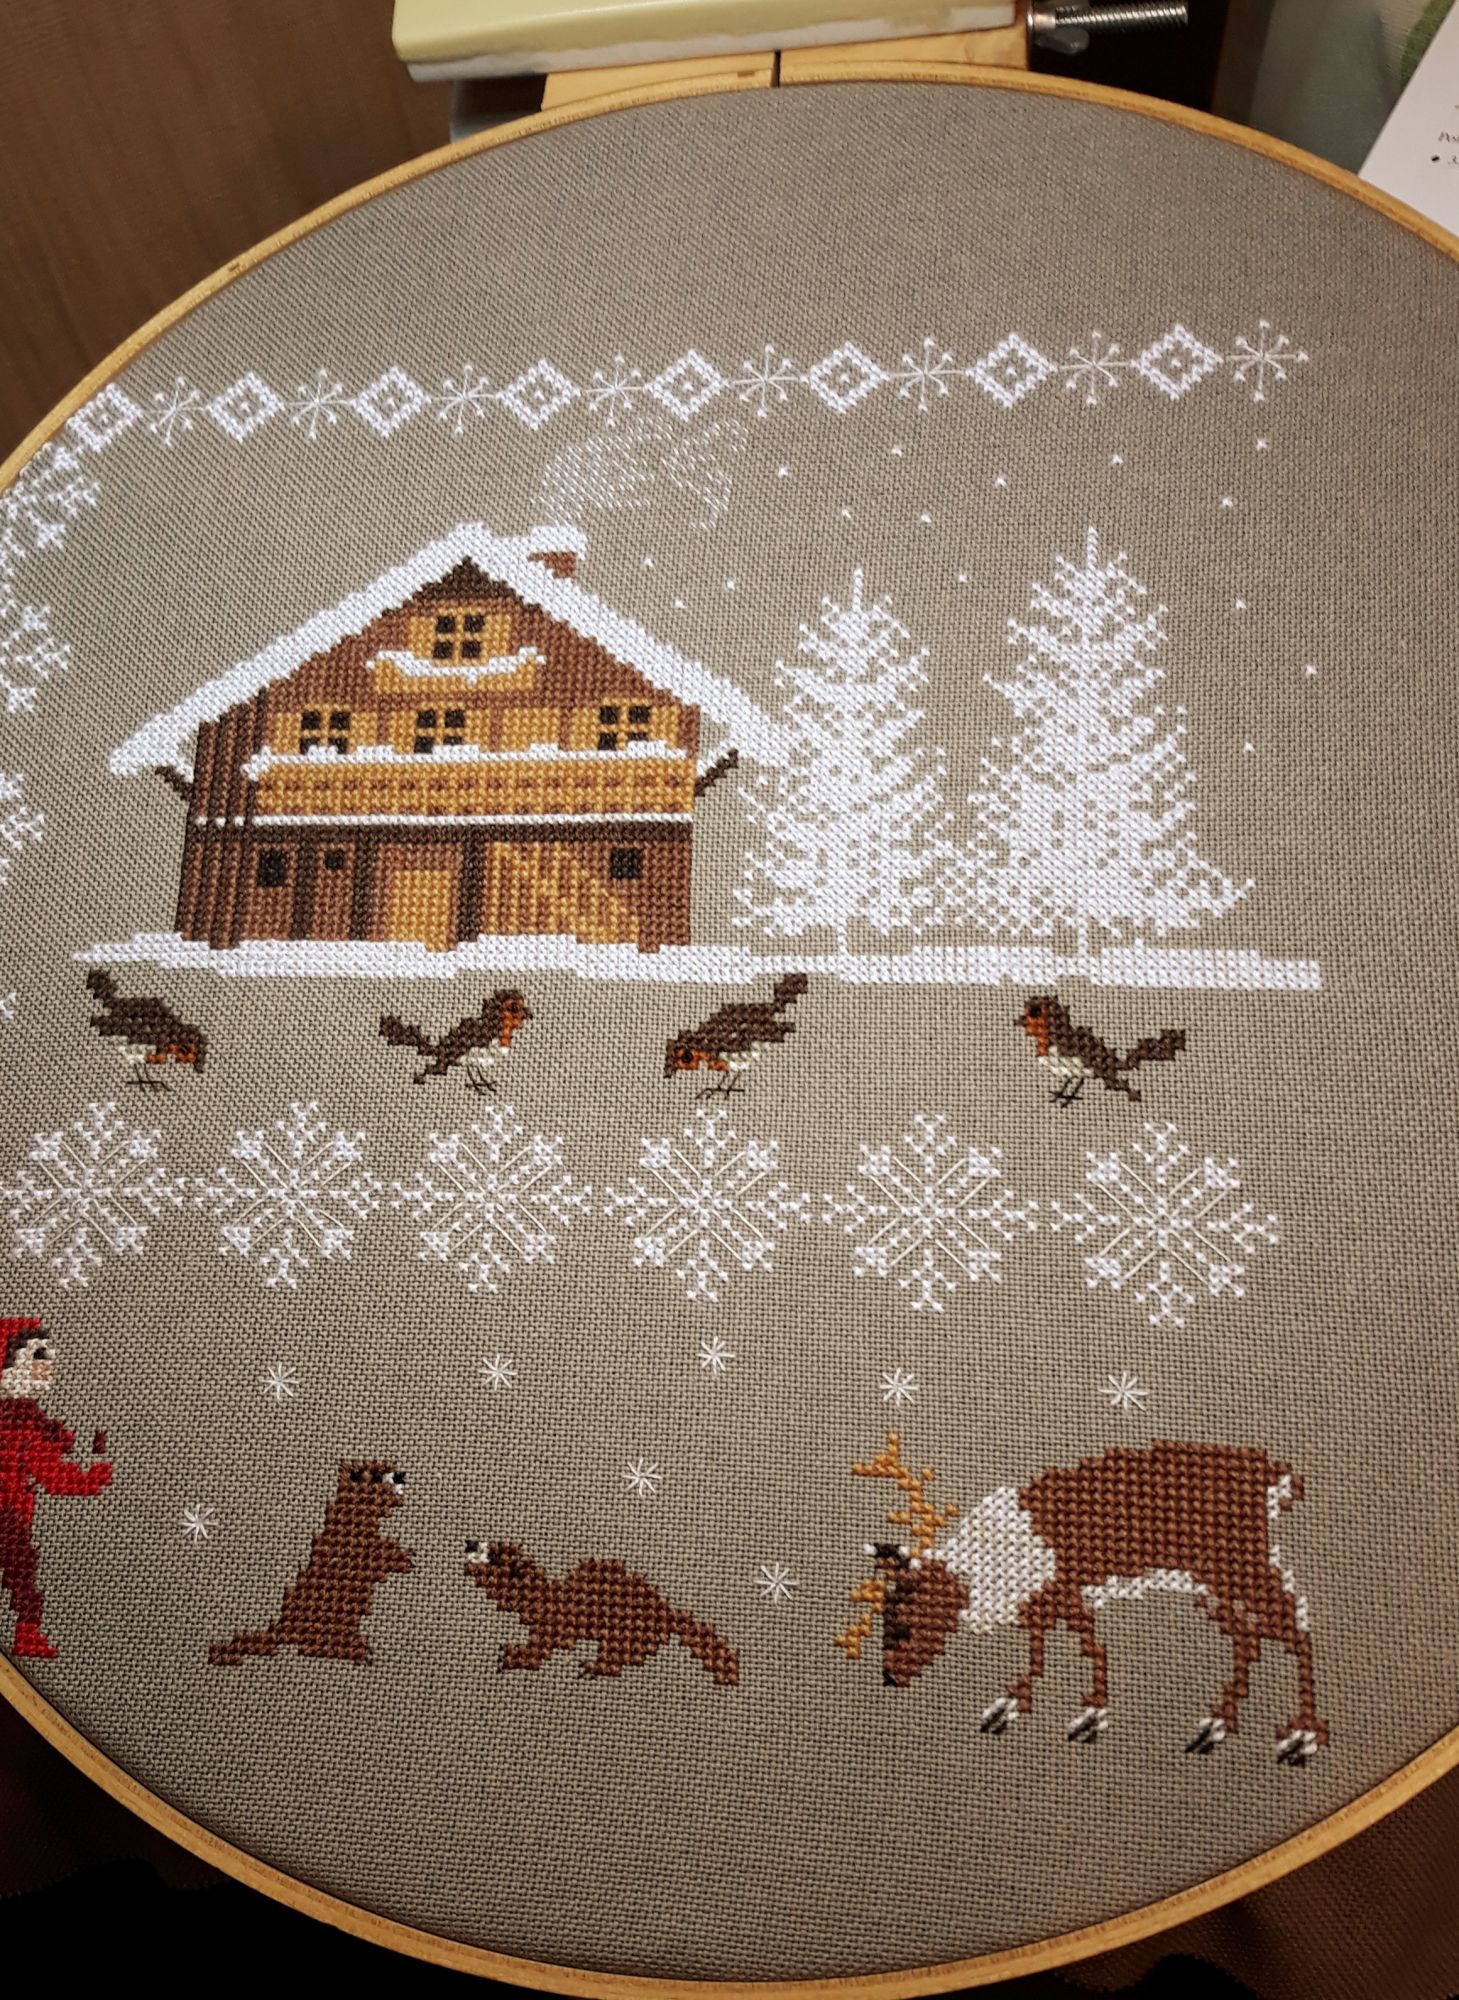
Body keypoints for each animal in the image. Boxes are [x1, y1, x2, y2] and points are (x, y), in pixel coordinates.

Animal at [835, 1432, 1326, 1767]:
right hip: (1211, 1586)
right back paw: (1215, 1726)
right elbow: (1039, 1657)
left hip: (1238, 1570)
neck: (981, 1571)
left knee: (1295, 1628)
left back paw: (1301, 1738)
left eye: (902, 1627)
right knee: (1250, 1638)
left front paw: (1089, 1717)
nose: (889, 1678)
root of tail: (1273, 1477)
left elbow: (1091, 1649)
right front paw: (1007, 1708)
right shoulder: (1043, 1605)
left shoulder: (1067, 1595)